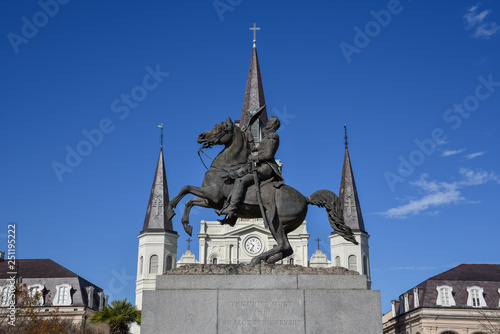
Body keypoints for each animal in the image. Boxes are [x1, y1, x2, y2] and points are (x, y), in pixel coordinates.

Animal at [170, 116, 358, 264]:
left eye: (220, 128)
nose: (200, 136)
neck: (225, 167)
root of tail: (306, 198)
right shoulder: (211, 200)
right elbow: (188, 198)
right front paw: (182, 221)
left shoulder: (213, 195)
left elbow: (186, 190)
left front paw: (173, 211)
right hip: (284, 226)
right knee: (286, 248)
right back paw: (264, 260)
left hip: (276, 222)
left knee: (284, 246)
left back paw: (258, 259)